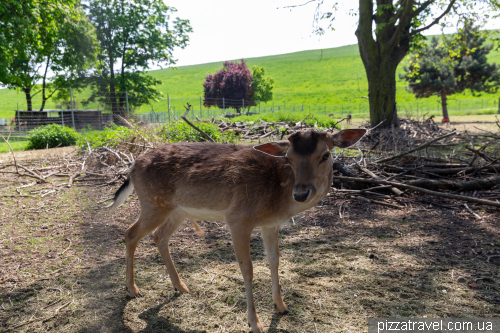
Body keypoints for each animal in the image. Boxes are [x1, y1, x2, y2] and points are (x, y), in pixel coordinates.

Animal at [109, 127, 366, 332]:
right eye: (289, 157)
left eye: (326, 154)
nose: (301, 193)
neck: (278, 200)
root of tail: (132, 166)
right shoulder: (238, 219)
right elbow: (248, 269)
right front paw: (255, 323)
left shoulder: (271, 224)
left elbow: (274, 261)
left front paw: (281, 306)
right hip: (153, 203)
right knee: (130, 234)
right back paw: (133, 289)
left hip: (177, 209)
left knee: (159, 236)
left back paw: (180, 286)